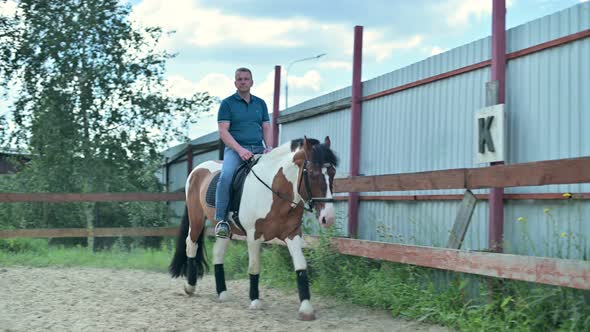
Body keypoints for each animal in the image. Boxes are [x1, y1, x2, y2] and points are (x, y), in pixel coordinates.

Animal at [169, 136, 340, 320]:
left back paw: (222, 293)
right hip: (196, 219)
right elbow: (254, 266)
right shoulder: (254, 235)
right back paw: (190, 287)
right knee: (191, 245)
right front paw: (255, 301)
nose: (328, 218)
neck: (275, 191)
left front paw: (306, 308)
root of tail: (197, 169)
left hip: (225, 229)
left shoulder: (292, 234)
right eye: (314, 174)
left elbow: (301, 265)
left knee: (218, 253)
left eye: (333, 173)